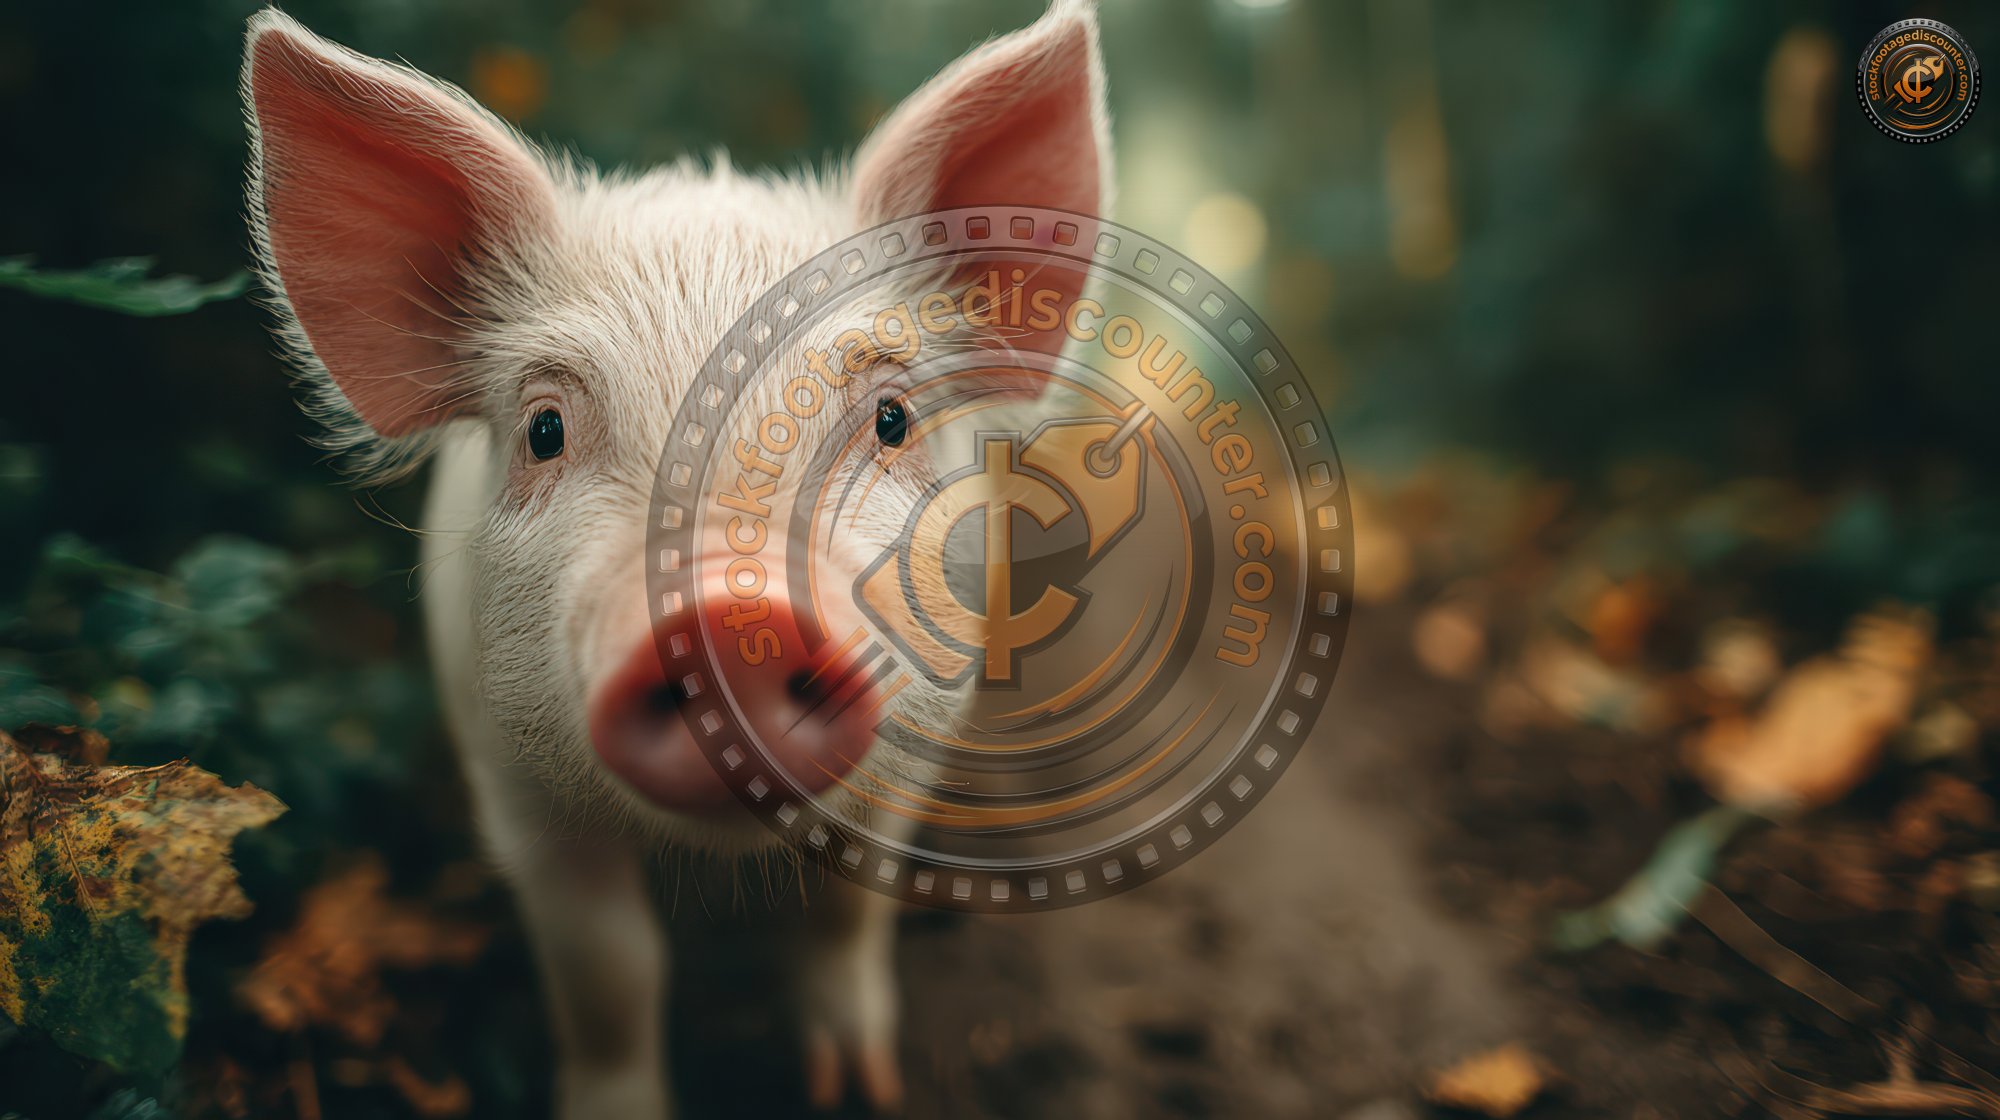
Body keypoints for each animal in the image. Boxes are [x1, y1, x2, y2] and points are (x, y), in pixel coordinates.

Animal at [239, 2, 1111, 1116]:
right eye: (545, 430)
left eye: (891, 417)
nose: (733, 617)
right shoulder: (513, 783)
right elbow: (611, 966)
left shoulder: (912, 752)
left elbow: (845, 911)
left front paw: (856, 1088)